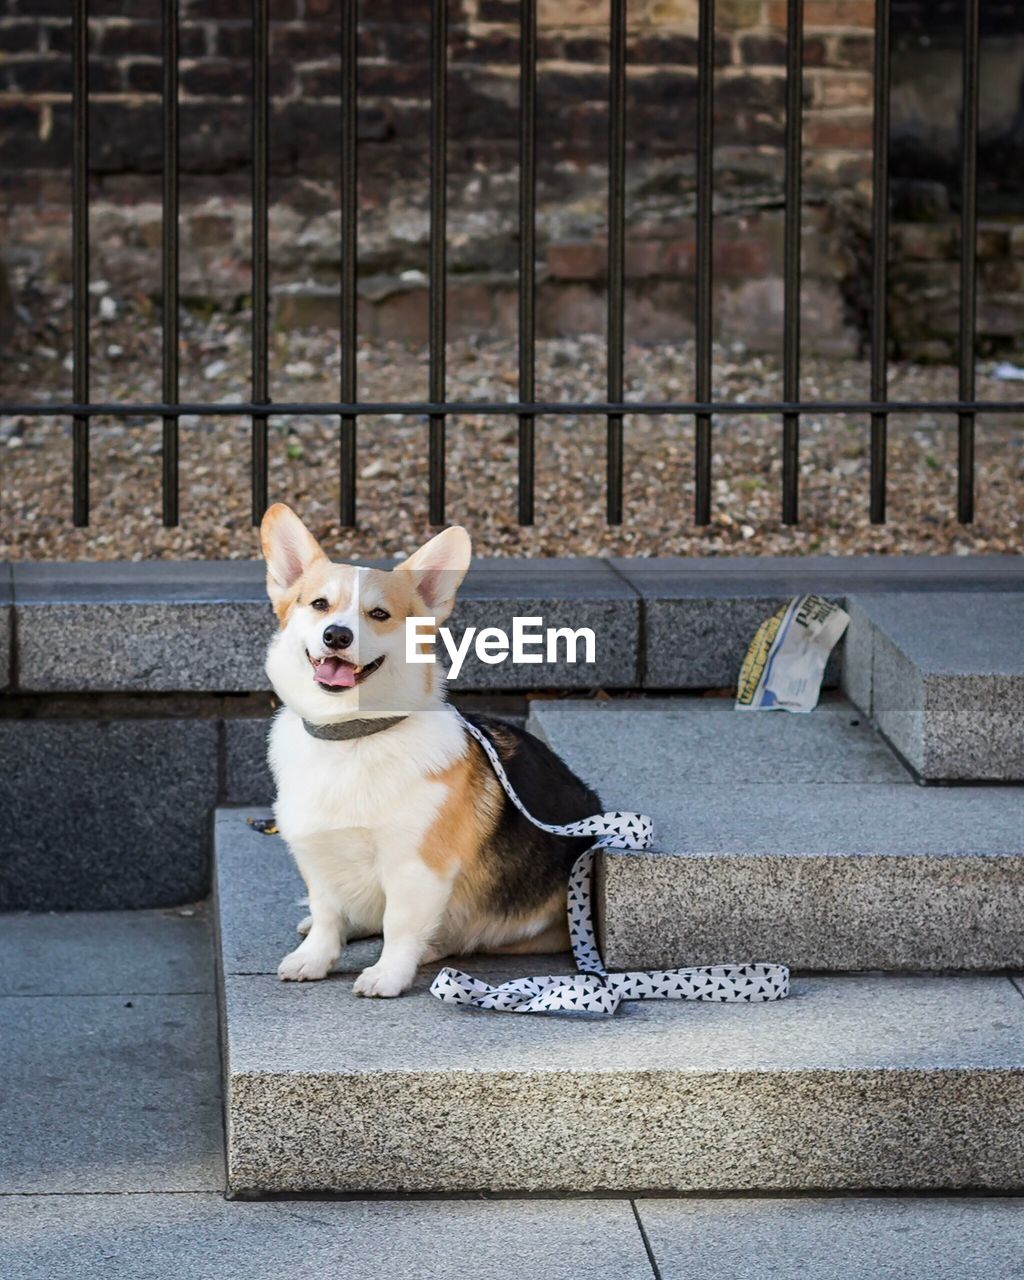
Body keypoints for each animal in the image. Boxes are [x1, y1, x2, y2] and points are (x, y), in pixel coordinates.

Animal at [262, 501, 599, 998]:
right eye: (319, 604)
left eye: (379, 614)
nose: (337, 636)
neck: (353, 734)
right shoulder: (319, 854)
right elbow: (327, 913)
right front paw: (315, 956)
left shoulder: (415, 865)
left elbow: (400, 925)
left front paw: (388, 974)